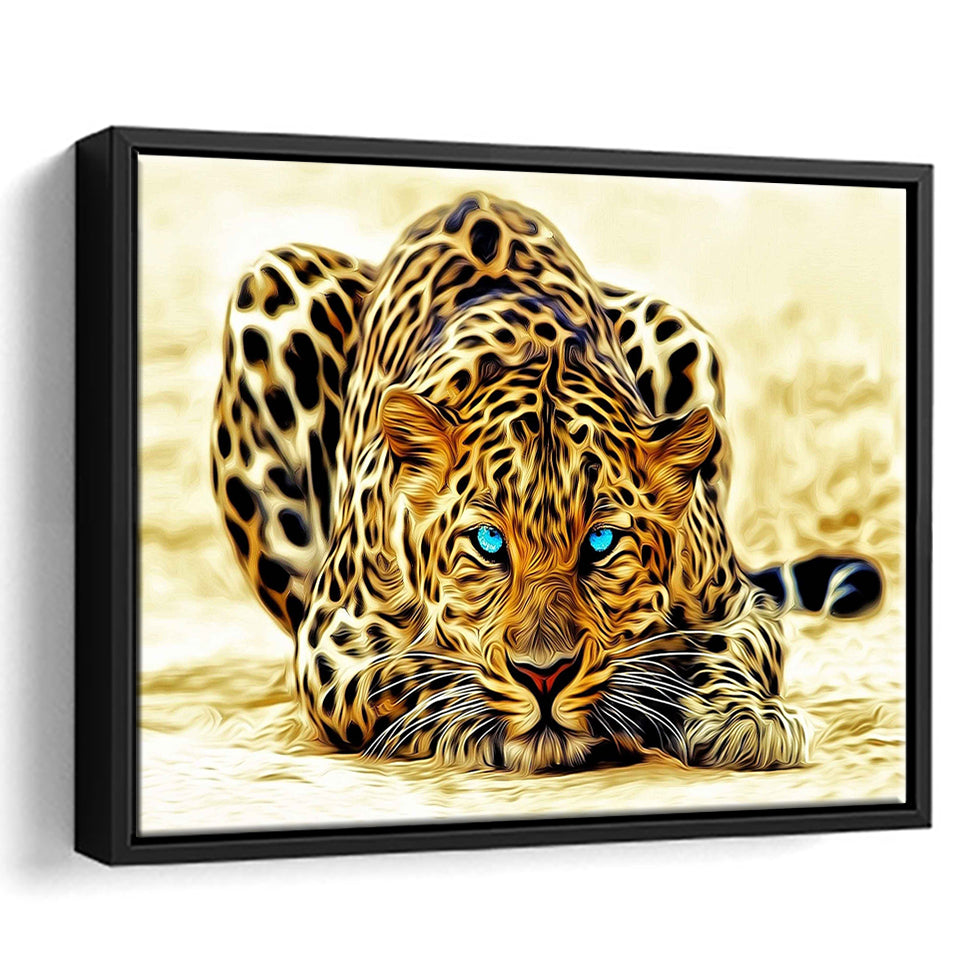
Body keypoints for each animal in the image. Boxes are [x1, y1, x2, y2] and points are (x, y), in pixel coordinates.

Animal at [211, 191, 882, 774]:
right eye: (488, 544)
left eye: (601, 544)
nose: (544, 675)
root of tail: (474, 197)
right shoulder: (332, 640)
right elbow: (405, 677)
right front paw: (471, 720)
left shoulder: (739, 606)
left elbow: (731, 652)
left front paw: (745, 720)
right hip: (269, 286)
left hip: (675, 326)